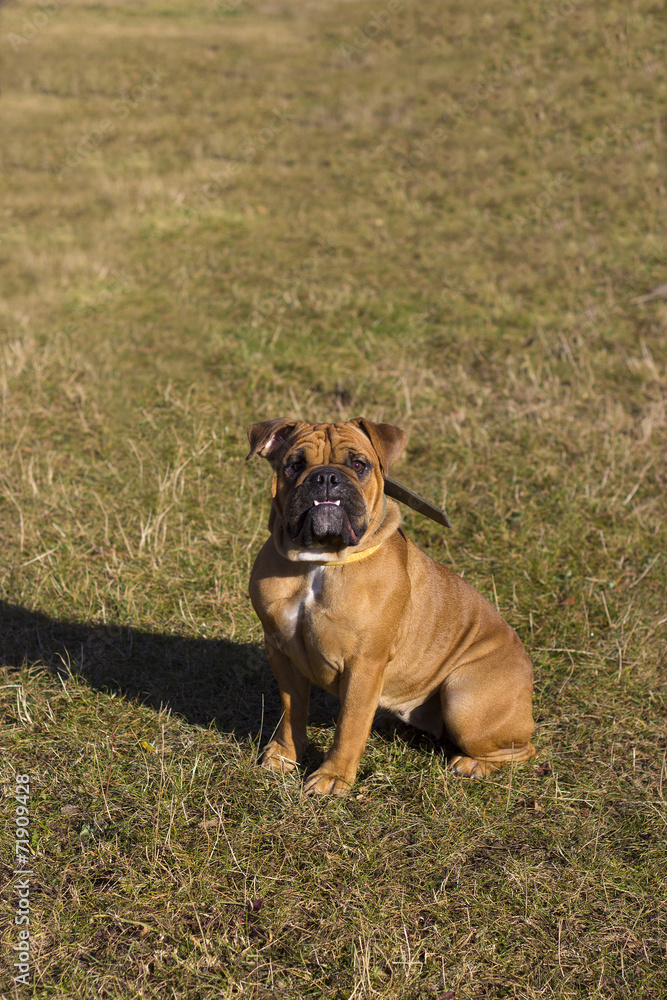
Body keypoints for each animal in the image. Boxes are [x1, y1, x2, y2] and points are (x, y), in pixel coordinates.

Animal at [248, 416, 536, 796]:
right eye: (294, 465)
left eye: (359, 465)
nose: (325, 477)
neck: (319, 561)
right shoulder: (281, 651)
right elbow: (291, 710)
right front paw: (284, 755)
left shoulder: (364, 664)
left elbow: (350, 725)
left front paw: (333, 777)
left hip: (463, 698)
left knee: (522, 748)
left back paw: (472, 764)